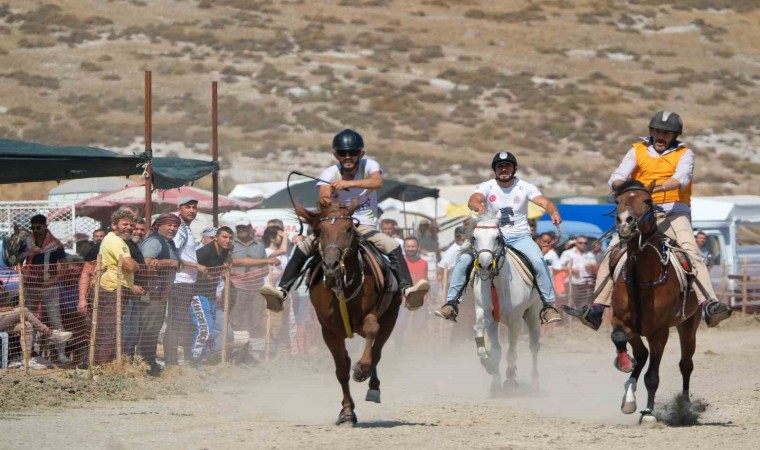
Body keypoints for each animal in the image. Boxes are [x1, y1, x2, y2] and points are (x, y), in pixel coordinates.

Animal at [296, 200, 404, 426]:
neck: (343, 286)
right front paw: (347, 412)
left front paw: (361, 369)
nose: (331, 265)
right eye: (320, 230)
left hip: (391, 317)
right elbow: (342, 369)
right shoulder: (329, 331)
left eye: (347, 229)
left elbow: (371, 333)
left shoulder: (375, 317)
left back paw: (372, 386)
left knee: (377, 351)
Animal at [472, 211, 544, 394]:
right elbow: (494, 349)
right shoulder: (488, 316)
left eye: (497, 237)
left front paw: (510, 379)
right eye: (474, 237)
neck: (497, 284)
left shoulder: (515, 320)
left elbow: (511, 352)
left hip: (533, 314)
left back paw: (535, 382)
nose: (484, 265)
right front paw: (493, 375)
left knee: (534, 347)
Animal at [612, 180, 700, 426]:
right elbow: (619, 338)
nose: (625, 222)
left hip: (688, 325)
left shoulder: (659, 332)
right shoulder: (621, 321)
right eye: (617, 201)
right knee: (641, 355)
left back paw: (685, 406)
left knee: (686, 364)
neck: (640, 280)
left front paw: (649, 413)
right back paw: (628, 398)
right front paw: (624, 363)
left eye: (647, 201)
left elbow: (652, 376)